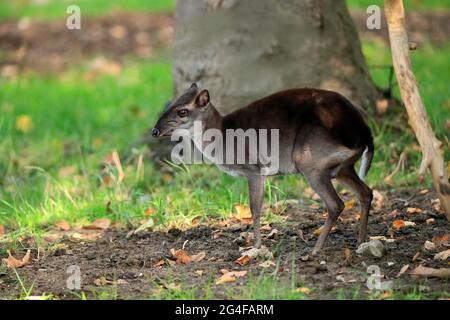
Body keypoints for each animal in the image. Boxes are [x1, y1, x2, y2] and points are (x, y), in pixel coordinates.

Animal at [153, 84, 374, 254]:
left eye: (182, 111)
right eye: (170, 105)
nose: (155, 131)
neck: (223, 137)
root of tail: (365, 134)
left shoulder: (254, 168)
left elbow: (255, 207)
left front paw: (256, 246)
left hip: (311, 160)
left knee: (336, 204)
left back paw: (316, 249)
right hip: (342, 167)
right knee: (366, 192)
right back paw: (361, 242)